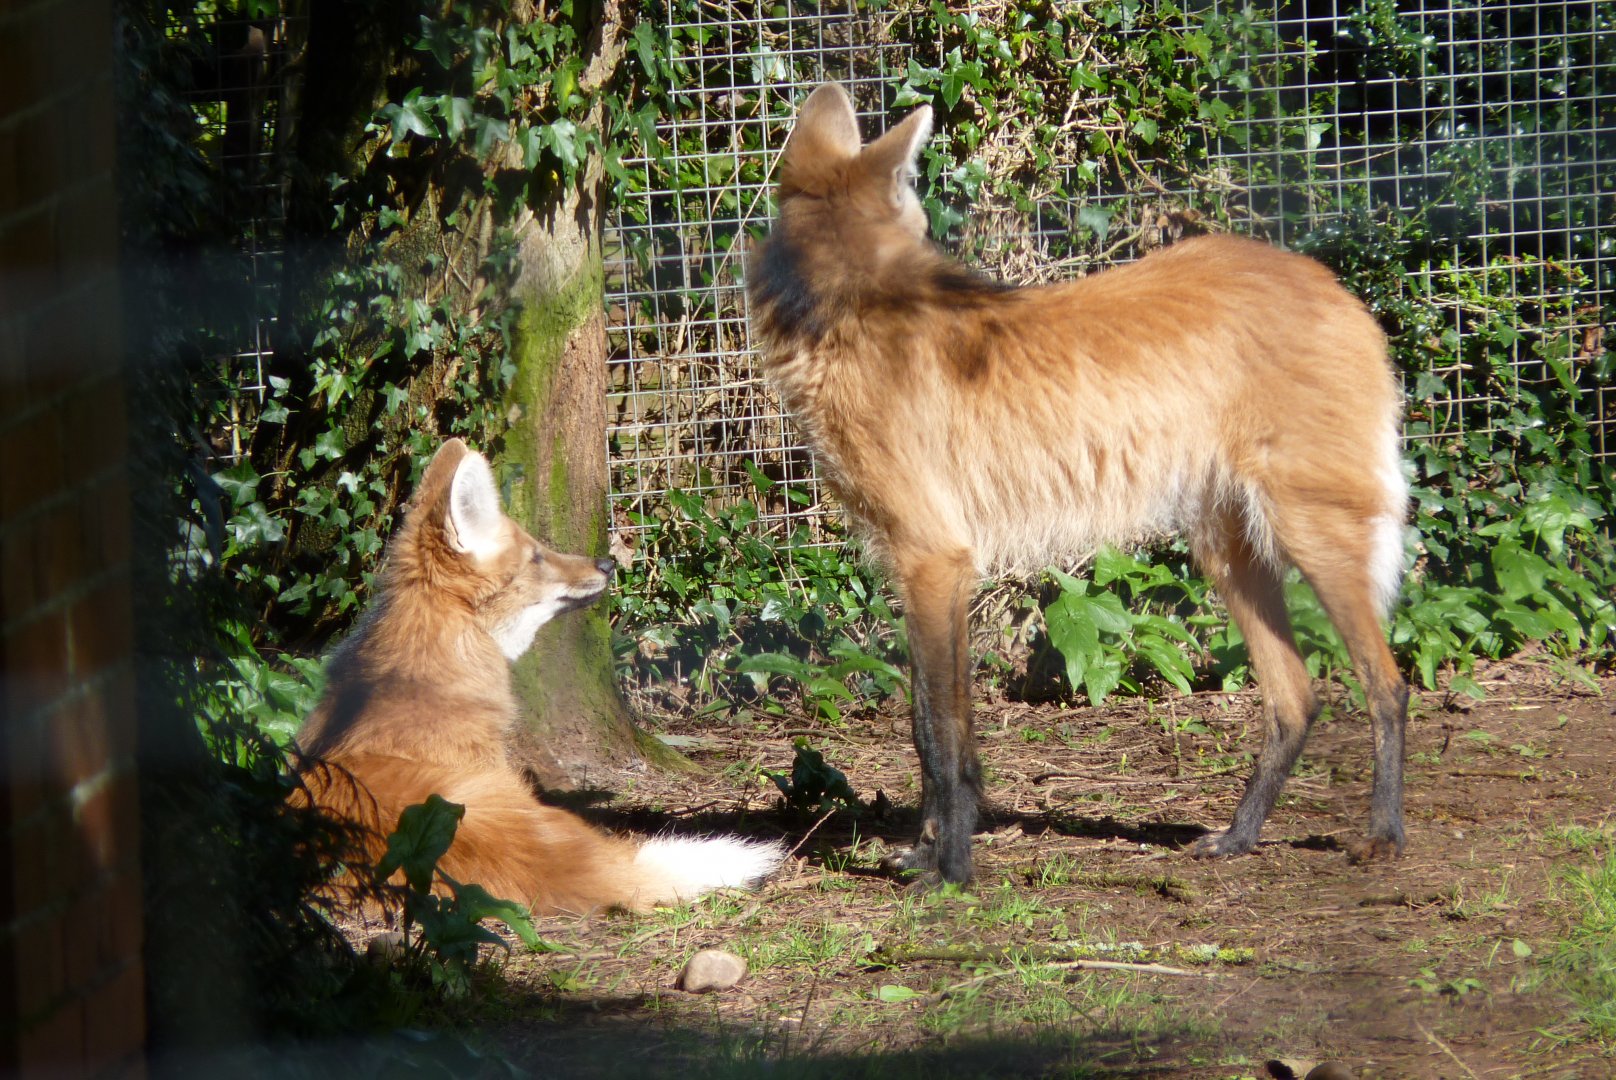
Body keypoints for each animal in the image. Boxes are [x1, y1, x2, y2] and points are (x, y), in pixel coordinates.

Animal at [747, 83, 1409, 886]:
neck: (848, 309)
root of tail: (1332, 283)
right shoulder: (927, 565)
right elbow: (935, 725)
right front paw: (928, 851)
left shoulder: (934, 557)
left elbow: (940, 730)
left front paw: (950, 868)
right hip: (1225, 546)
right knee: (1296, 696)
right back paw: (1238, 836)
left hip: (1310, 529)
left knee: (1387, 682)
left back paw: (1382, 834)